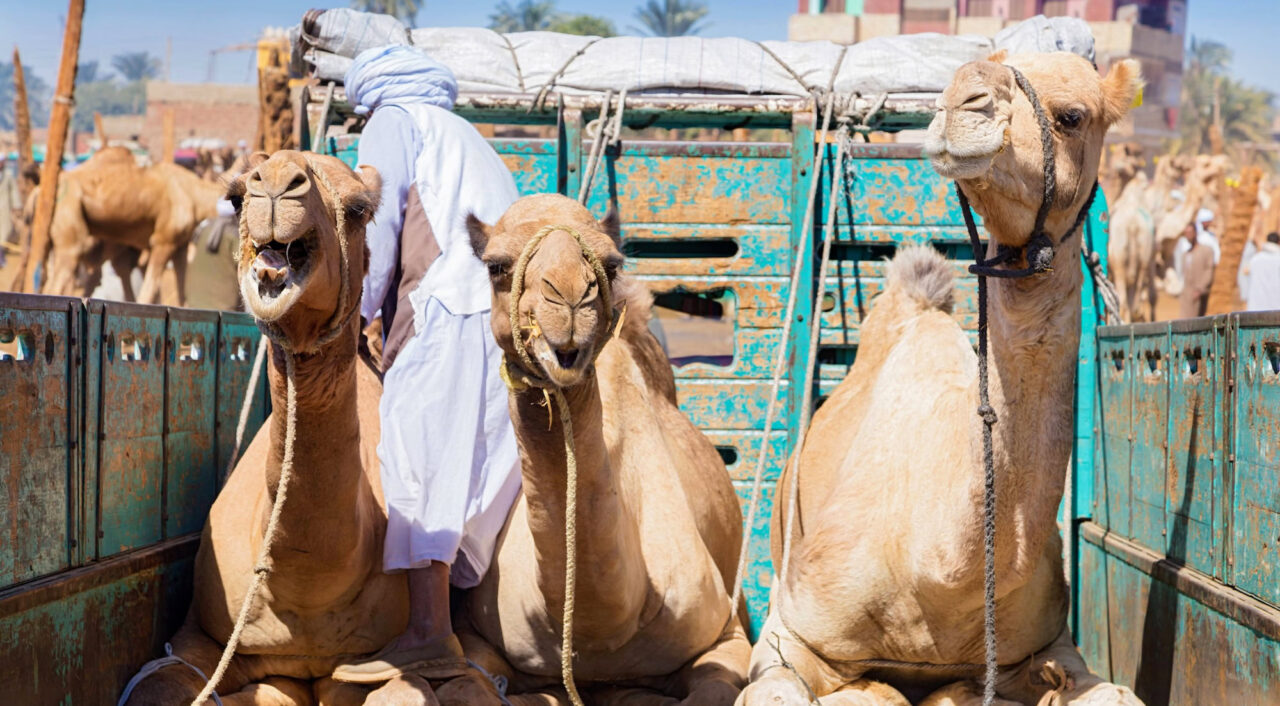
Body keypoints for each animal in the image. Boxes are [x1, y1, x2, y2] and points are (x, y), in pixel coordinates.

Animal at [40, 148, 224, 305]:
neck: (195, 196)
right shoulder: (163, 241)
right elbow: (147, 293)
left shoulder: (181, 246)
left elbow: (181, 295)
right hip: (70, 228)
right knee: (57, 285)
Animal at [120, 150, 499, 706]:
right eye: (236, 197)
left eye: (360, 208)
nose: (276, 183)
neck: (306, 588)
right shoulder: (200, 638)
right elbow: (160, 684)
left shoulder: (362, 667)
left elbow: (408, 691)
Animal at [461, 193, 751, 704]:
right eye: (496, 266)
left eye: (610, 265)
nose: (569, 299)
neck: (601, 633)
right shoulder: (479, 634)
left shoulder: (726, 633)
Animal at [737, 52, 1144, 705]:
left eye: (1072, 115)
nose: (963, 101)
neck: (941, 573)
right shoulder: (790, 628)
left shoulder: (1047, 646)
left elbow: (1113, 693)